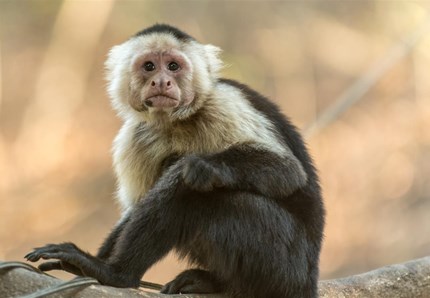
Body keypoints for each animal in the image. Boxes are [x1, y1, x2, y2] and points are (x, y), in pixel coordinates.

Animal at [25, 23, 324, 298]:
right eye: (149, 66)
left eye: (173, 66)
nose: (161, 81)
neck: (175, 121)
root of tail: (308, 280)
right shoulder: (135, 136)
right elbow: (135, 207)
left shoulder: (224, 104)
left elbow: (288, 171)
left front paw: (205, 166)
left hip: (286, 266)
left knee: (197, 188)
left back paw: (117, 274)